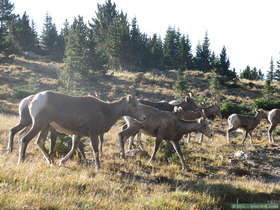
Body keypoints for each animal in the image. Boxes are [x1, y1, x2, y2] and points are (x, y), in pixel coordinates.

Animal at [16, 90, 145, 171]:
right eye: (134, 105)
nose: (143, 118)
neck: (105, 111)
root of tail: (33, 99)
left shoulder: (77, 135)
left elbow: (74, 148)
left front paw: (62, 162)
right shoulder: (93, 134)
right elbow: (95, 150)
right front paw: (98, 167)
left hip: (45, 127)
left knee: (39, 142)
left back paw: (51, 162)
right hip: (38, 124)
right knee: (25, 139)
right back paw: (21, 161)